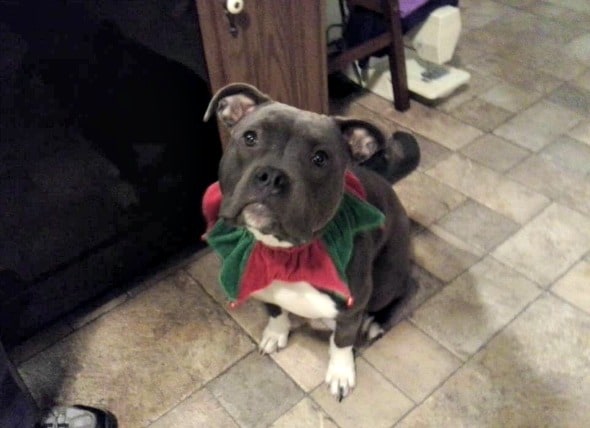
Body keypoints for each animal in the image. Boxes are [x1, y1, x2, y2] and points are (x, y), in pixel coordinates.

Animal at [202, 83, 419, 400]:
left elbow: (341, 341)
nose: (272, 176)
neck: (286, 254)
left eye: (320, 158)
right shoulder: (262, 286)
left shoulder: (352, 306)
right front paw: (275, 334)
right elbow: (275, 311)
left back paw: (376, 321)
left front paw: (340, 373)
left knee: (406, 287)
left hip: (386, 279)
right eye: (250, 138)